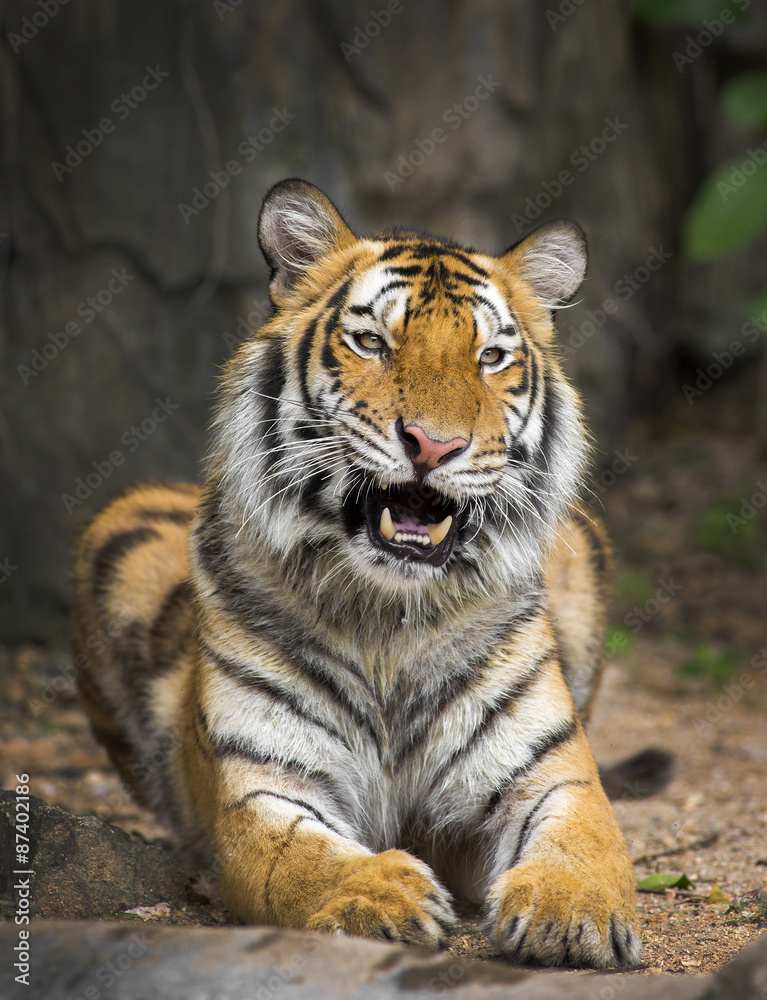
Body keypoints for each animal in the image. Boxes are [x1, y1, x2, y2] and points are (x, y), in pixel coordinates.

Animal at [72, 178, 642, 968]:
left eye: (491, 356)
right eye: (372, 341)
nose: (433, 444)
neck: (388, 620)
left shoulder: (552, 774)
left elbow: (583, 843)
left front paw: (573, 913)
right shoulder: (263, 788)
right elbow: (301, 861)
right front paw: (383, 896)